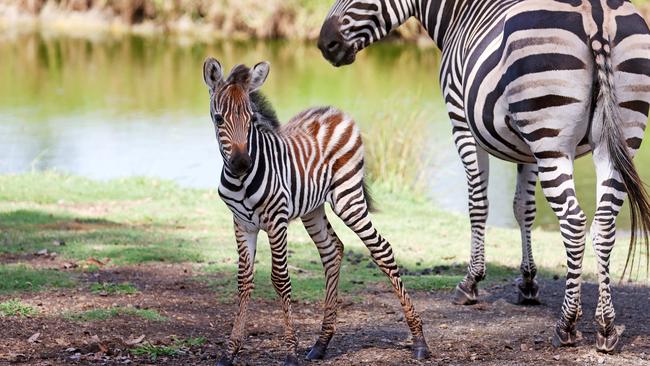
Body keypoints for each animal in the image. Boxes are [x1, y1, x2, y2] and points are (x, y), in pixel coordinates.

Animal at [200, 58, 428, 364]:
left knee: (382, 249)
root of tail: (335, 110)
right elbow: (244, 281)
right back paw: (321, 343)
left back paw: (419, 341)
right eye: (219, 119)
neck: (242, 181)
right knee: (332, 250)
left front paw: (290, 352)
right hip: (313, 209)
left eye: (250, 119)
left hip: (348, 199)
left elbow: (280, 279)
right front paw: (230, 351)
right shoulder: (242, 223)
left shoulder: (277, 221)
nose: (241, 164)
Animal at [318, 0, 648, 354]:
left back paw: (567, 324)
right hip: (616, 140)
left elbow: (478, 204)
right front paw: (528, 282)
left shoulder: (461, 121)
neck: (459, 15)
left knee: (573, 222)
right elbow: (523, 208)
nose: (325, 44)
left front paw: (471, 282)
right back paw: (606, 327)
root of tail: (596, 14)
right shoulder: (527, 148)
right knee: (603, 224)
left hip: (551, 138)